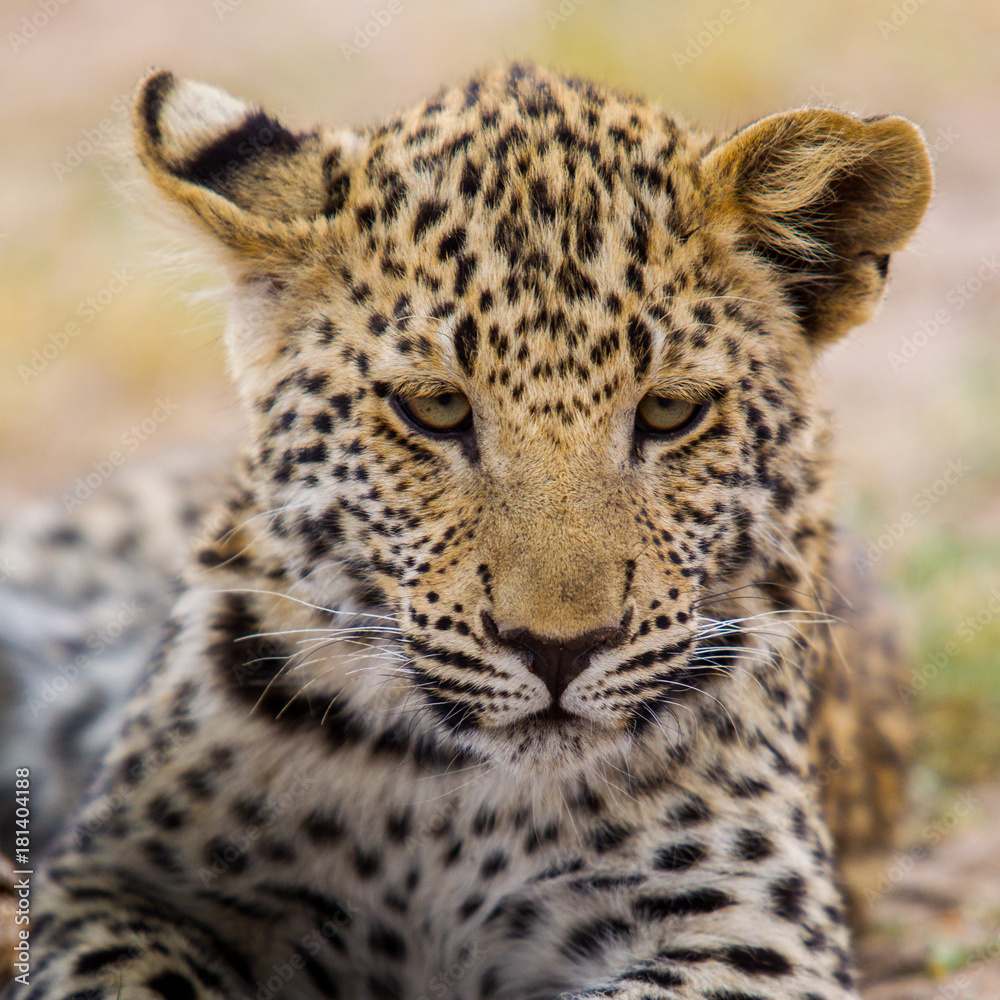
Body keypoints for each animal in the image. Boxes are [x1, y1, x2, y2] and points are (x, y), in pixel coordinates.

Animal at [3, 62, 931, 1000]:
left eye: (671, 411)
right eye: (435, 407)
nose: (559, 650)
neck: (455, 810)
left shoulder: (751, 929)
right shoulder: (121, 881)